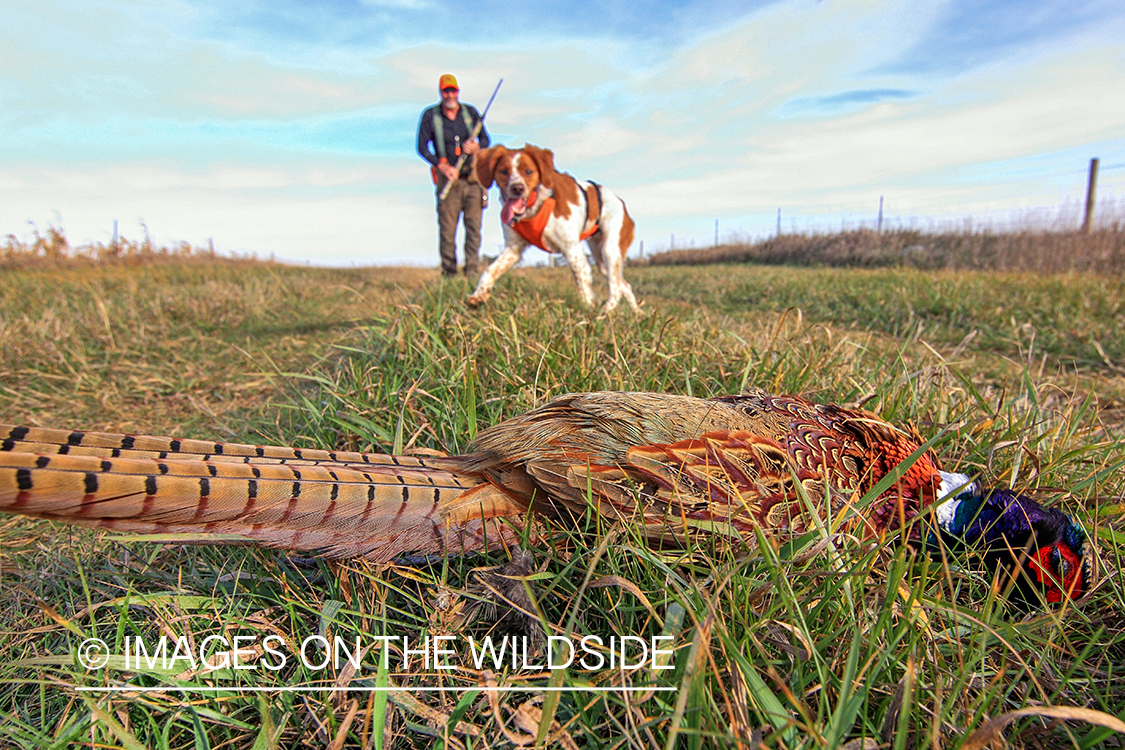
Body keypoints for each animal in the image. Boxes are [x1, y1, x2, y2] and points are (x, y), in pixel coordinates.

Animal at [468, 143, 643, 310]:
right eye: (504, 171)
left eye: (528, 171)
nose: (517, 188)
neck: (534, 205)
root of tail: (622, 204)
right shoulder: (513, 249)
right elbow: (489, 270)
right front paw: (478, 295)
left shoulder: (572, 249)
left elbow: (582, 281)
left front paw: (589, 311)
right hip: (601, 259)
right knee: (624, 285)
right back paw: (636, 313)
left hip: (610, 251)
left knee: (615, 288)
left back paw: (605, 312)